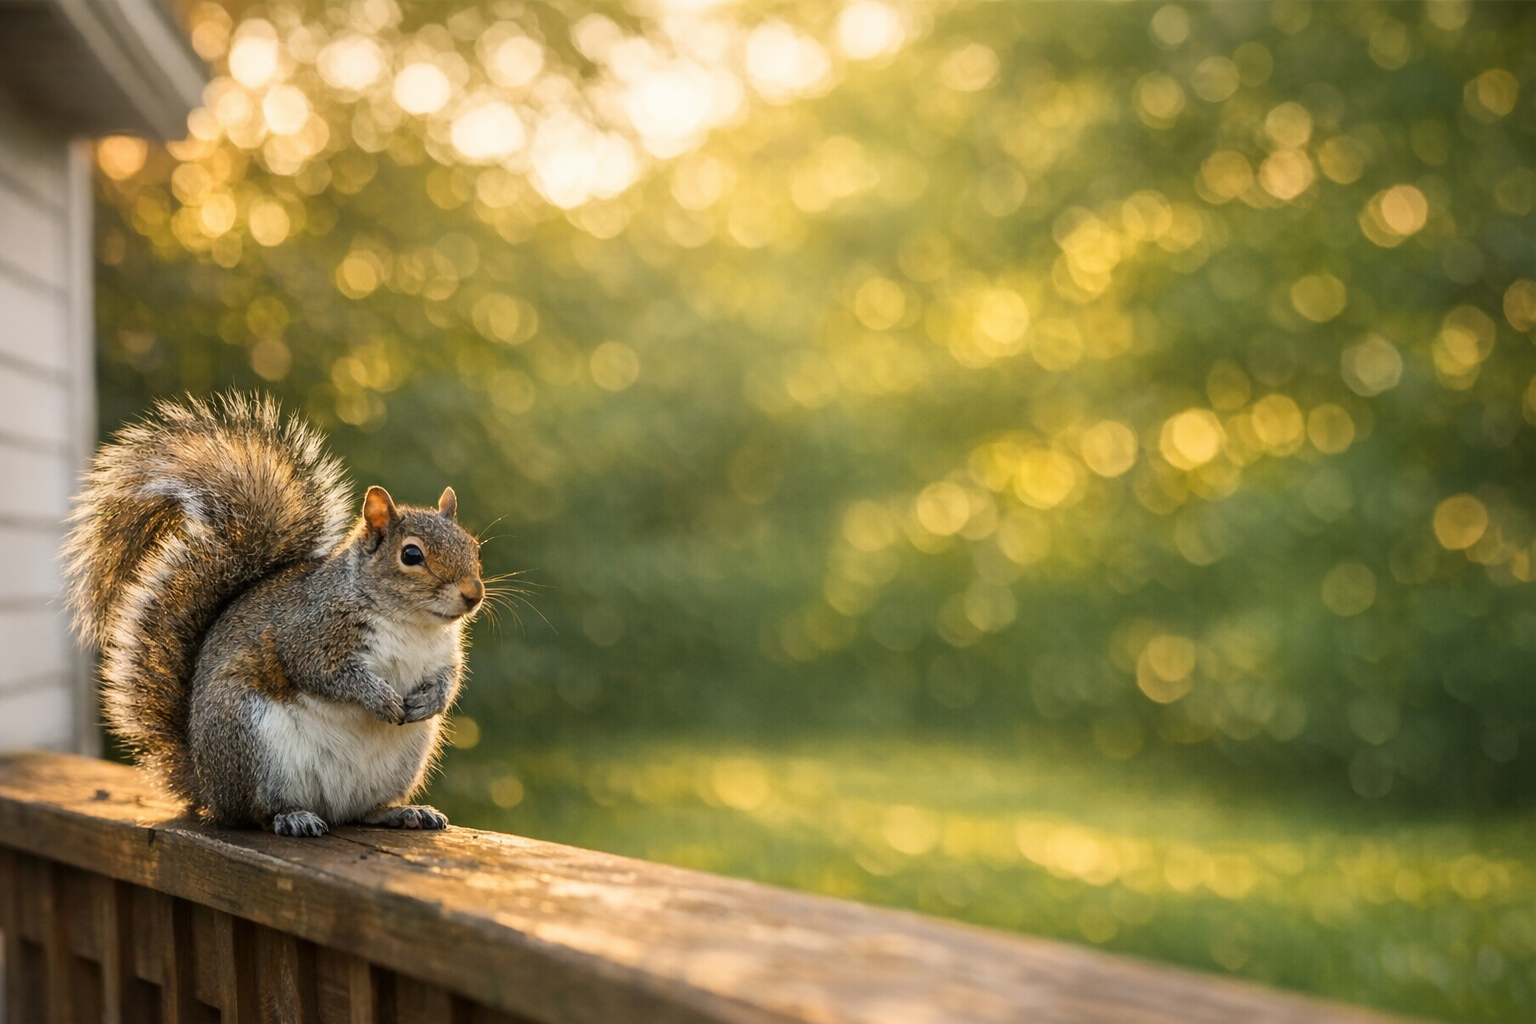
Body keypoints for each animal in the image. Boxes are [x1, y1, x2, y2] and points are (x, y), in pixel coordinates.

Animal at [62, 393, 485, 837]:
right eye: (411, 555)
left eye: (472, 546)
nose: (474, 595)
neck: (410, 623)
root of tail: (207, 788)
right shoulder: (307, 632)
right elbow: (322, 672)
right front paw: (380, 698)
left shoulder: (443, 654)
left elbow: (448, 679)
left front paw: (431, 701)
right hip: (251, 745)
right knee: (255, 814)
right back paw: (292, 816)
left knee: (362, 812)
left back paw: (401, 812)